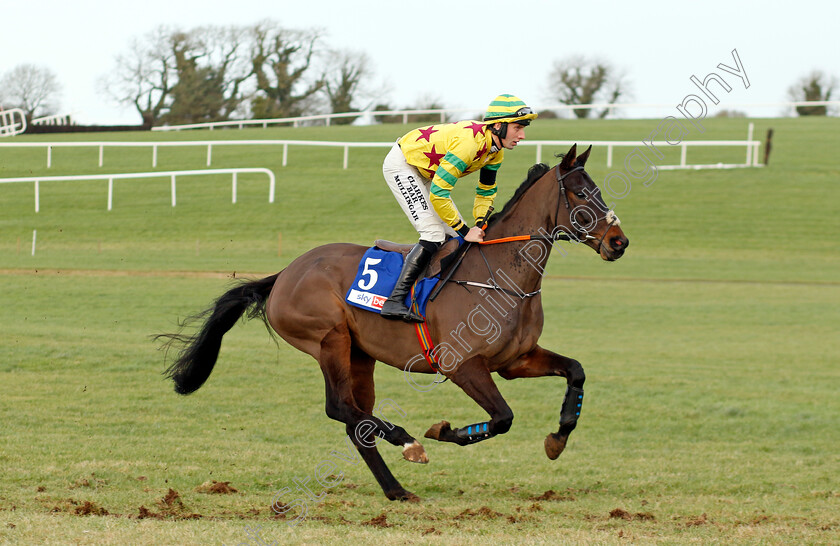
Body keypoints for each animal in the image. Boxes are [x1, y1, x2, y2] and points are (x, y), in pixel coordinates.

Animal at [159, 142, 632, 500]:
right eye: (582, 195)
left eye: (597, 191)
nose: (619, 242)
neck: (499, 273)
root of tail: (285, 274)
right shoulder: (462, 365)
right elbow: (502, 418)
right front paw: (442, 431)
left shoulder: (516, 361)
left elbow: (576, 371)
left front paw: (558, 439)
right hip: (329, 341)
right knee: (341, 409)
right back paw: (408, 444)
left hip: (359, 354)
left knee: (356, 421)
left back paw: (396, 489)